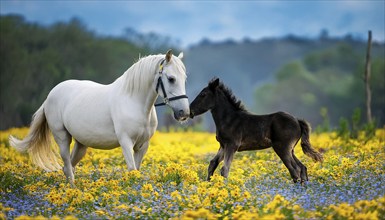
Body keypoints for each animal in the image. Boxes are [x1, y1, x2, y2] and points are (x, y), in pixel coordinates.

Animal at [9, 49, 189, 186]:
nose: (184, 113)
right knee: (67, 166)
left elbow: (136, 170)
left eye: (184, 79)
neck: (133, 101)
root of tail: (50, 95)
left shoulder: (142, 145)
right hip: (62, 138)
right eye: (171, 78)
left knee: (70, 167)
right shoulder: (126, 142)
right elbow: (131, 170)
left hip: (81, 144)